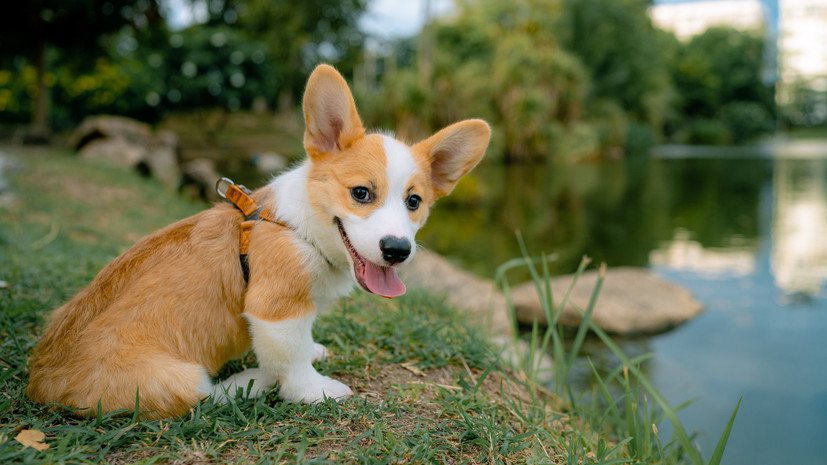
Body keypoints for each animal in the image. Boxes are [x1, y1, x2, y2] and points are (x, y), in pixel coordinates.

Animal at [25, 64, 492, 416]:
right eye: (361, 193)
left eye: (414, 201)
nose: (397, 250)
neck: (300, 228)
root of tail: (41, 383)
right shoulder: (276, 309)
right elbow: (292, 361)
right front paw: (314, 390)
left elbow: (300, 344)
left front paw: (311, 350)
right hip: (176, 377)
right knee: (206, 396)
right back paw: (251, 380)